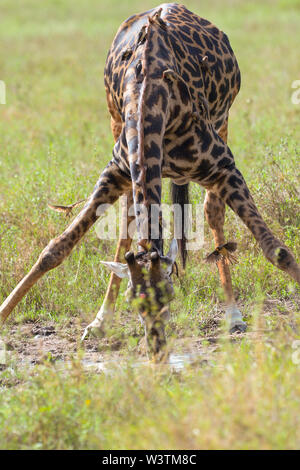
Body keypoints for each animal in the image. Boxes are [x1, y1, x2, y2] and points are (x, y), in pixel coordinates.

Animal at [0, 3, 300, 360]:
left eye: (169, 298)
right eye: (135, 303)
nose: (157, 353)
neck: (151, 98)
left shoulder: (225, 167)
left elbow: (277, 250)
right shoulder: (114, 170)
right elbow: (55, 249)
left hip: (224, 122)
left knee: (213, 212)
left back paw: (233, 315)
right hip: (115, 125)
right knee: (128, 221)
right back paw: (100, 322)